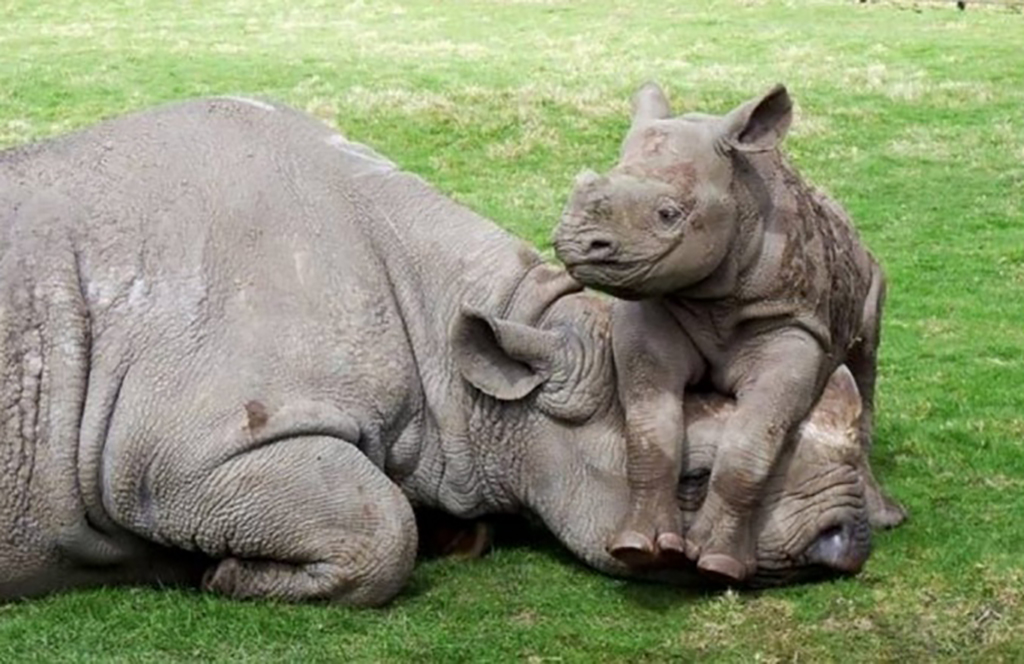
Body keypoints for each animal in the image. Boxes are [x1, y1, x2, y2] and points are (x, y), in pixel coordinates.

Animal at [553, 83, 906, 581]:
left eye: (668, 214)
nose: (576, 244)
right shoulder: (652, 309)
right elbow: (650, 432)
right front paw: (637, 546)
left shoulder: (790, 324)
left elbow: (751, 439)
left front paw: (717, 563)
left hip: (872, 274)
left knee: (864, 364)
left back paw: (887, 517)